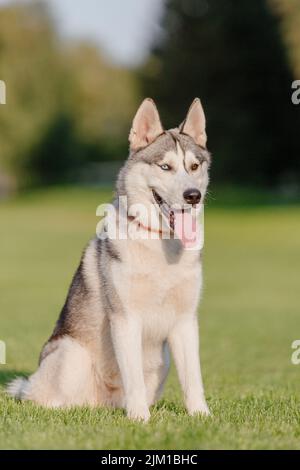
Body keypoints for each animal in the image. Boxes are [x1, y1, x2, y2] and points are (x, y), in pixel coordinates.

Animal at [8, 97, 211, 420]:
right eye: (165, 166)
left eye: (194, 166)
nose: (193, 195)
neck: (160, 243)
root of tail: (103, 403)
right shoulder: (126, 319)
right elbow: (134, 379)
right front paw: (140, 419)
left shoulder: (185, 321)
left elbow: (193, 379)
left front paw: (201, 416)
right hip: (70, 354)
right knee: (44, 399)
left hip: (163, 358)